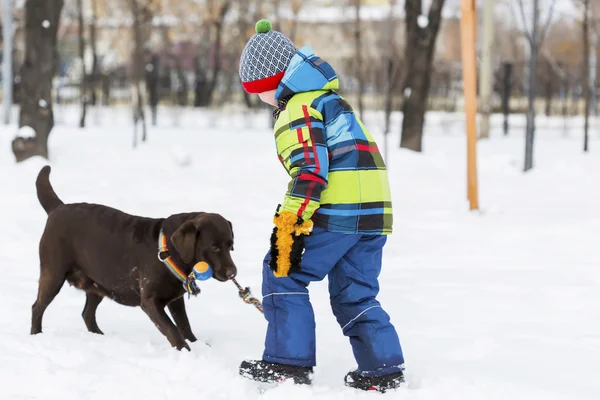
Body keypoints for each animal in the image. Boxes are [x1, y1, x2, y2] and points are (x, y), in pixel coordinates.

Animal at [30, 166, 237, 350]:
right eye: (214, 247)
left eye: (231, 245)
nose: (233, 273)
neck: (168, 250)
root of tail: (58, 208)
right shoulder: (151, 302)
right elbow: (172, 329)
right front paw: (185, 351)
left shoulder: (175, 300)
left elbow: (184, 325)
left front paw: (198, 345)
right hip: (53, 274)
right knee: (37, 307)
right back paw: (36, 335)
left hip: (99, 283)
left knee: (87, 314)